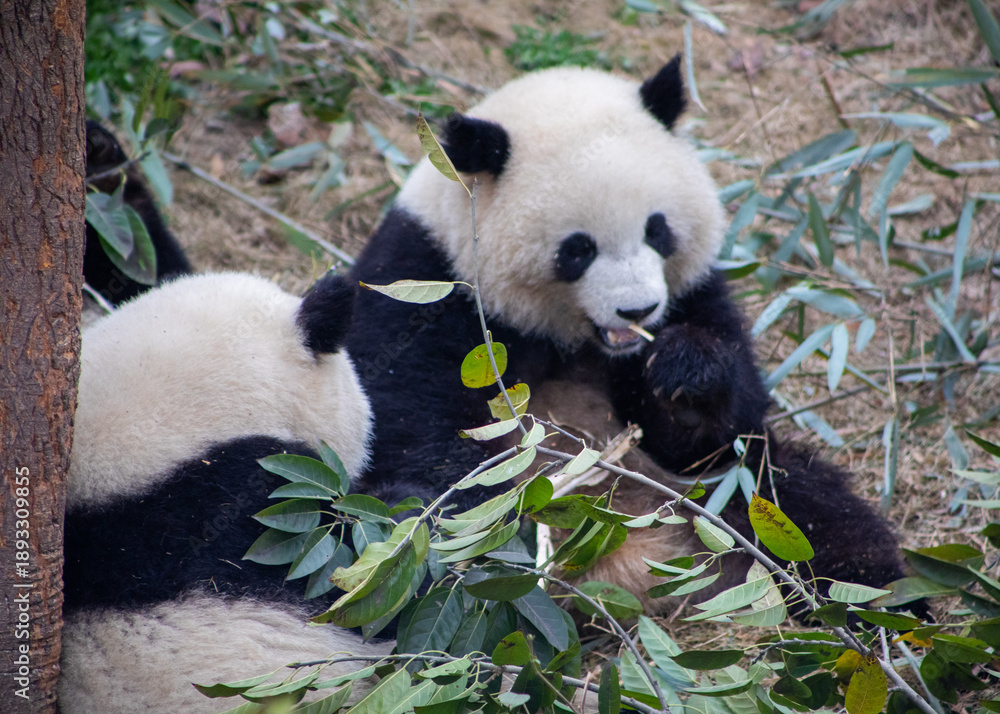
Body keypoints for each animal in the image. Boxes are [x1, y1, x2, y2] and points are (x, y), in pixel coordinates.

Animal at [345, 57, 906, 613]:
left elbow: (718, 429)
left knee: (808, 511)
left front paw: (685, 374)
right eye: (578, 249)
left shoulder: (694, 292)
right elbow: (414, 428)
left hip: (719, 499)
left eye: (657, 229)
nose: (639, 309)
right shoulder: (424, 285)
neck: (570, 334)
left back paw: (877, 605)